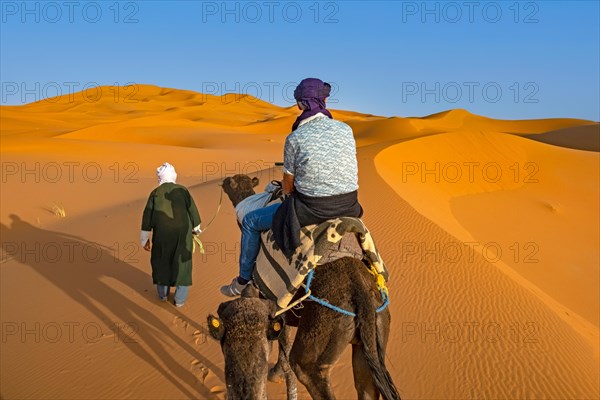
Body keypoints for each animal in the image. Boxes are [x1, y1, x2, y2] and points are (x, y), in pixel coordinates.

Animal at [209, 175, 400, 400]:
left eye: (229, 183)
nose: (223, 181)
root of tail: (361, 293)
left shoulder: (272, 302)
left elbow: (281, 342)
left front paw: (275, 374)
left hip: (314, 353)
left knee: (305, 368)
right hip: (373, 336)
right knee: (367, 385)